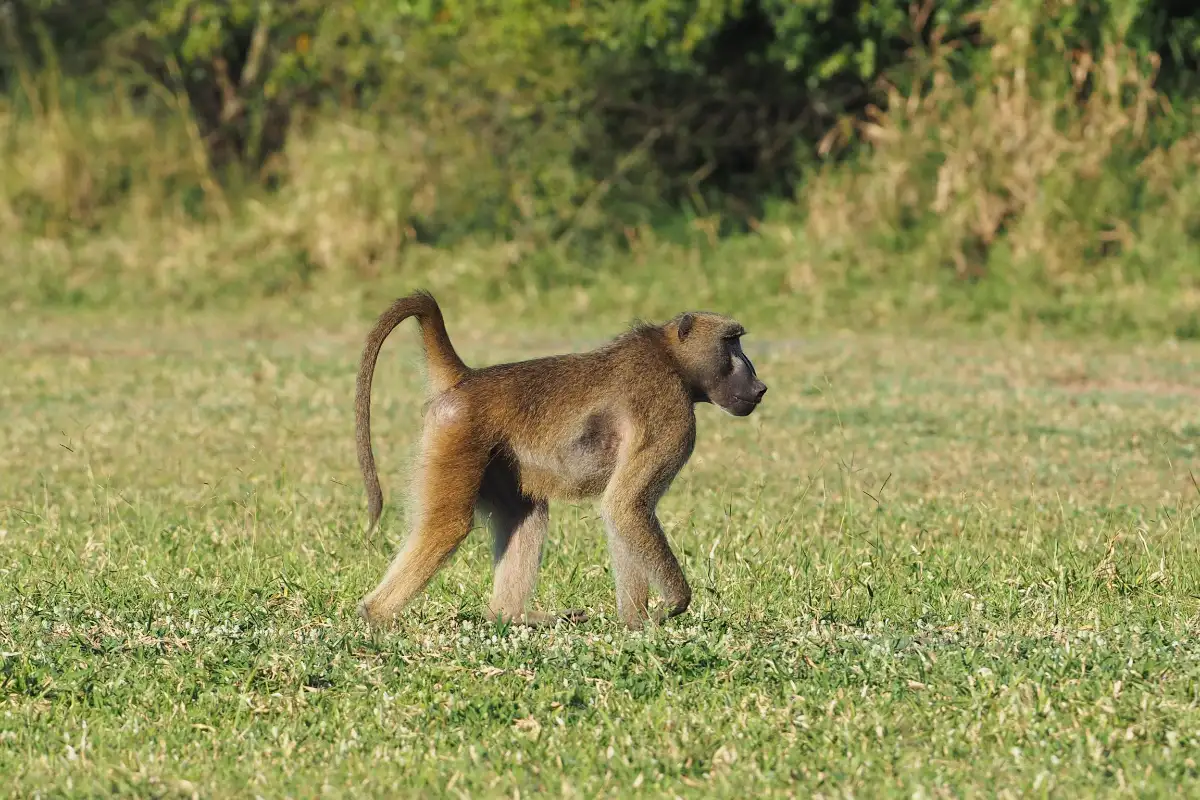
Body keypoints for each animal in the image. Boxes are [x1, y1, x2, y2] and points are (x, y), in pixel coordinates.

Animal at [354, 290, 767, 631]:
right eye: (731, 343)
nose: (760, 386)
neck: (671, 359)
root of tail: (468, 379)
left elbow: (621, 514)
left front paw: (636, 622)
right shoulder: (670, 415)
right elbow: (627, 505)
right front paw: (674, 605)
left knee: (526, 515)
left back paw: (511, 616)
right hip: (456, 436)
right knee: (448, 526)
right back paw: (377, 616)